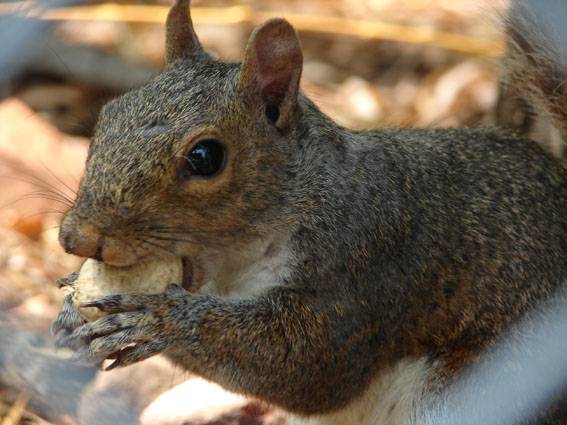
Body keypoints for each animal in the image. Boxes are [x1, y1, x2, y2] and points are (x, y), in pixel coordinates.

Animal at [50, 0, 567, 422]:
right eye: (109, 114)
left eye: (205, 157)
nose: (76, 238)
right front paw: (71, 310)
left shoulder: (365, 264)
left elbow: (309, 367)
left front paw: (163, 320)